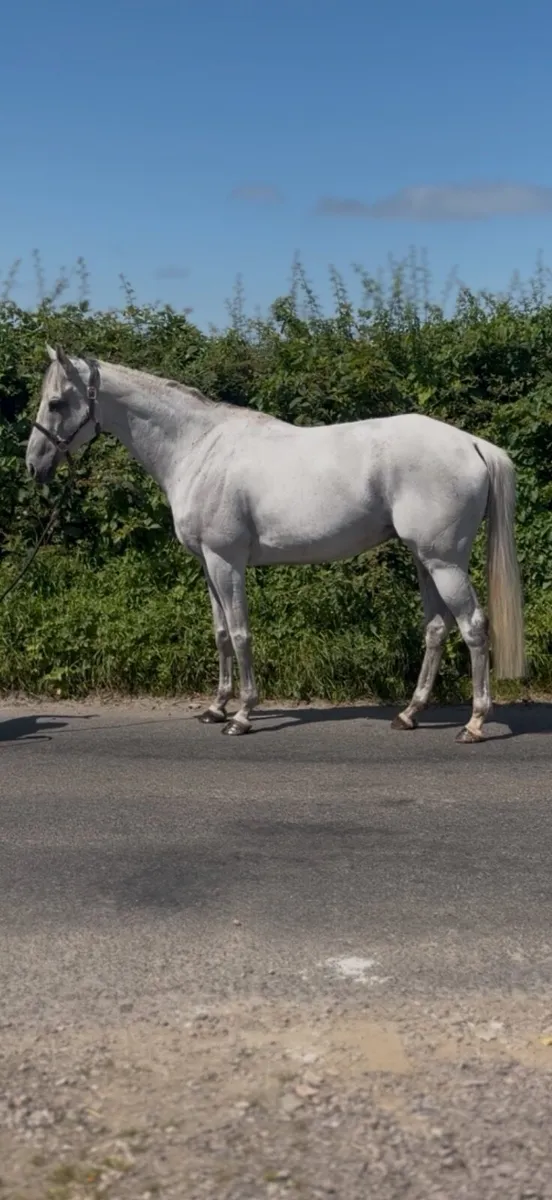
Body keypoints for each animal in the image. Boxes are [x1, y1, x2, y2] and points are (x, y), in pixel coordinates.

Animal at [25, 345, 526, 743]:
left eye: (56, 402)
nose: (34, 464)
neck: (198, 448)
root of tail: (473, 445)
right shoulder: (207, 564)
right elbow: (221, 634)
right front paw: (215, 707)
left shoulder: (226, 561)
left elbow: (241, 633)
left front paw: (242, 715)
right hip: (425, 561)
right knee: (437, 629)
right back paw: (409, 713)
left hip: (445, 563)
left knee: (473, 627)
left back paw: (475, 723)